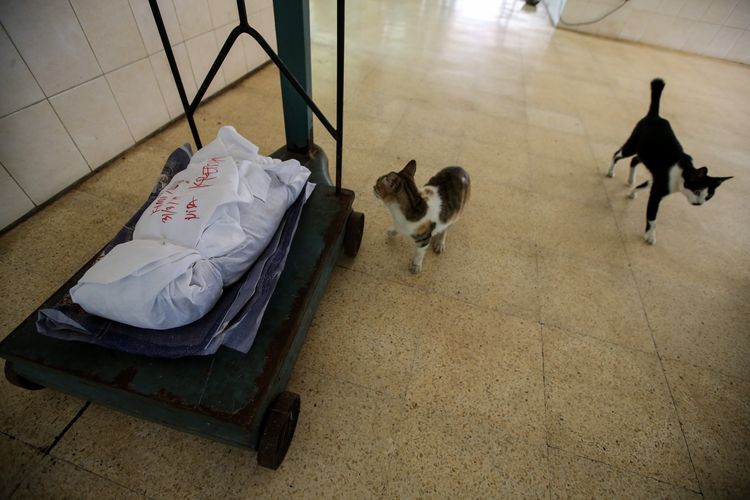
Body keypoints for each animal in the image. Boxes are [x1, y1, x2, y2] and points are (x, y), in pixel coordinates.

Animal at [608, 76, 732, 246]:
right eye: (697, 191)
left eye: (708, 196)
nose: (699, 204)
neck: (682, 174)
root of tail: (655, 116)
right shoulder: (657, 192)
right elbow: (652, 219)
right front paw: (650, 236)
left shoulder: (656, 181)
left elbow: (643, 185)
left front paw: (632, 192)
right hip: (632, 145)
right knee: (617, 154)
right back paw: (610, 171)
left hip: (645, 153)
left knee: (634, 160)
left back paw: (630, 179)